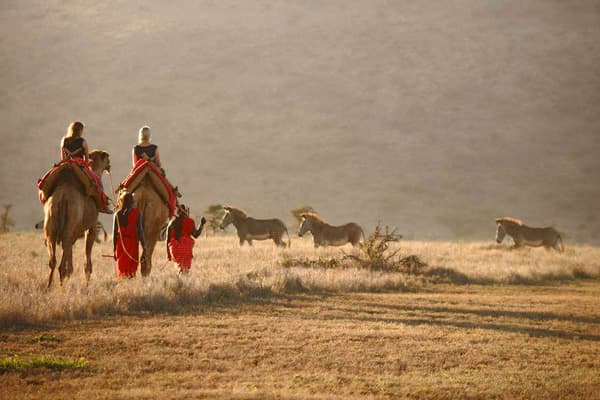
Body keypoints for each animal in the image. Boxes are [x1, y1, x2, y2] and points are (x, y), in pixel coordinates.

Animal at [44, 151, 112, 288]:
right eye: (107, 159)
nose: (109, 165)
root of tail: (63, 196)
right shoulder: (91, 228)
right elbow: (87, 259)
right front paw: (87, 283)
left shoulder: (74, 233)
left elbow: (70, 259)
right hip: (71, 221)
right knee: (61, 263)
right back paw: (61, 286)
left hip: (51, 224)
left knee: (53, 259)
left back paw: (49, 286)